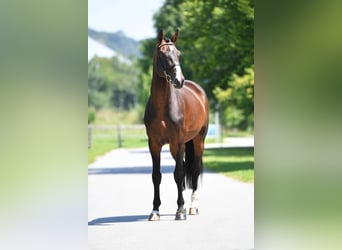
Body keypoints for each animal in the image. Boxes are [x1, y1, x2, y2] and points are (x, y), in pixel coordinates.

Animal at [144, 29, 208, 221]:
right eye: (163, 54)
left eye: (178, 53)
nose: (179, 80)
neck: (163, 108)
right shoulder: (154, 144)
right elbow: (156, 176)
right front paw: (155, 211)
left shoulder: (177, 142)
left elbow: (179, 175)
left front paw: (180, 210)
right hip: (176, 147)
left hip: (197, 140)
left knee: (194, 169)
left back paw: (192, 207)